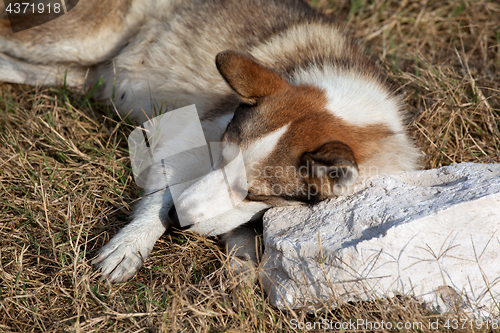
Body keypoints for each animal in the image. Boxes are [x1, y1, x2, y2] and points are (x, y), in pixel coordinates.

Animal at [1, 0, 420, 282]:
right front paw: (130, 246)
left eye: (254, 194)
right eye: (220, 155)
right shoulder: (190, 133)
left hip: (76, 71)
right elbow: (160, 196)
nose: (175, 221)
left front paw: (241, 269)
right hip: (75, 40)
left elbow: (240, 231)